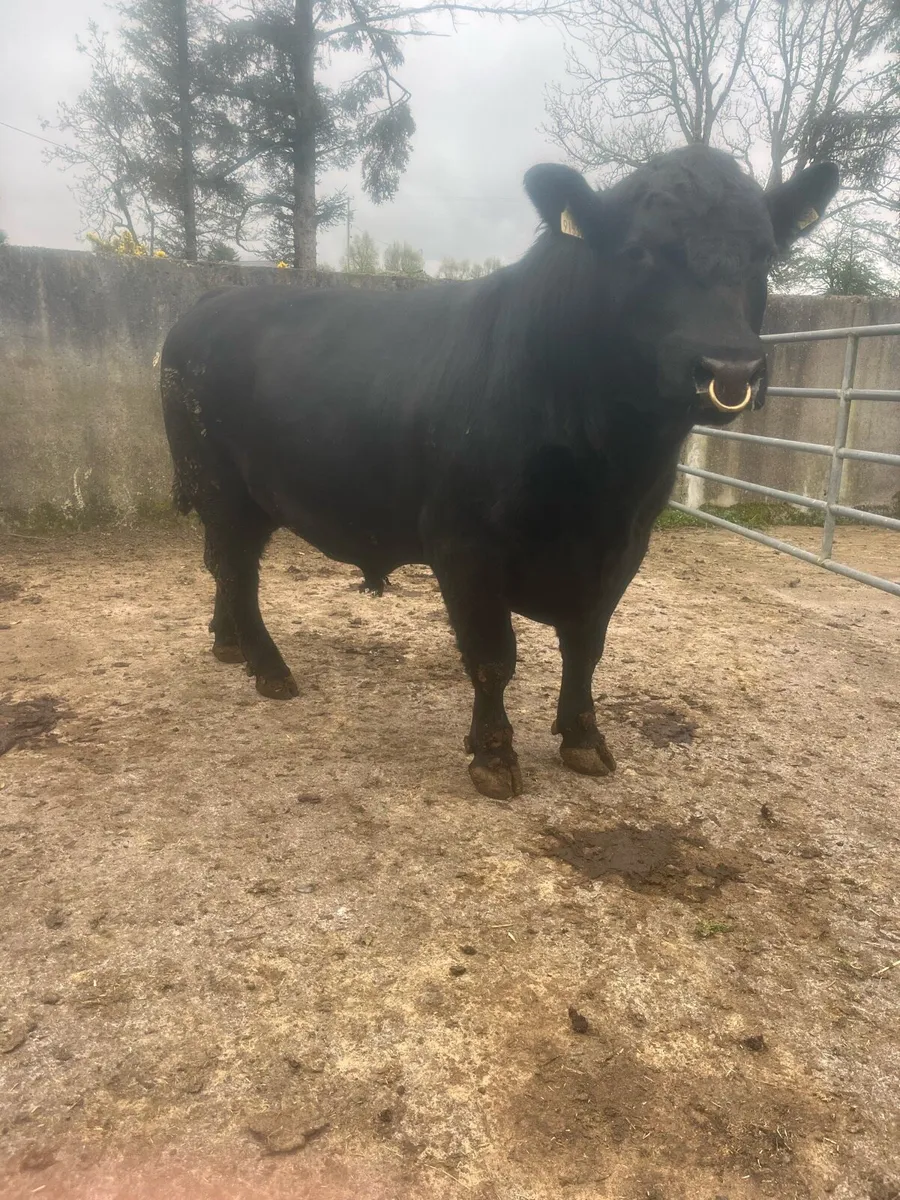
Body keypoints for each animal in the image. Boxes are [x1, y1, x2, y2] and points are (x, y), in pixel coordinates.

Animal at [161, 145, 838, 800]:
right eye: (639, 251)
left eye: (765, 252)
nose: (731, 370)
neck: (601, 477)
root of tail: (211, 302)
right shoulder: (464, 546)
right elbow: (493, 658)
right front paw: (493, 756)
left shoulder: (624, 547)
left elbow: (587, 648)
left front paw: (584, 739)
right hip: (220, 485)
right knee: (237, 570)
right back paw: (270, 668)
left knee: (224, 566)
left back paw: (228, 645)